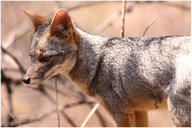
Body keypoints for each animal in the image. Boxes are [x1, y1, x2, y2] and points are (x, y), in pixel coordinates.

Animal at [22, 9, 190, 127]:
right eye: (31, 57)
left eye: (45, 58)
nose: (25, 80)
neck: (97, 63)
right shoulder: (139, 111)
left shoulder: (121, 112)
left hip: (177, 114)